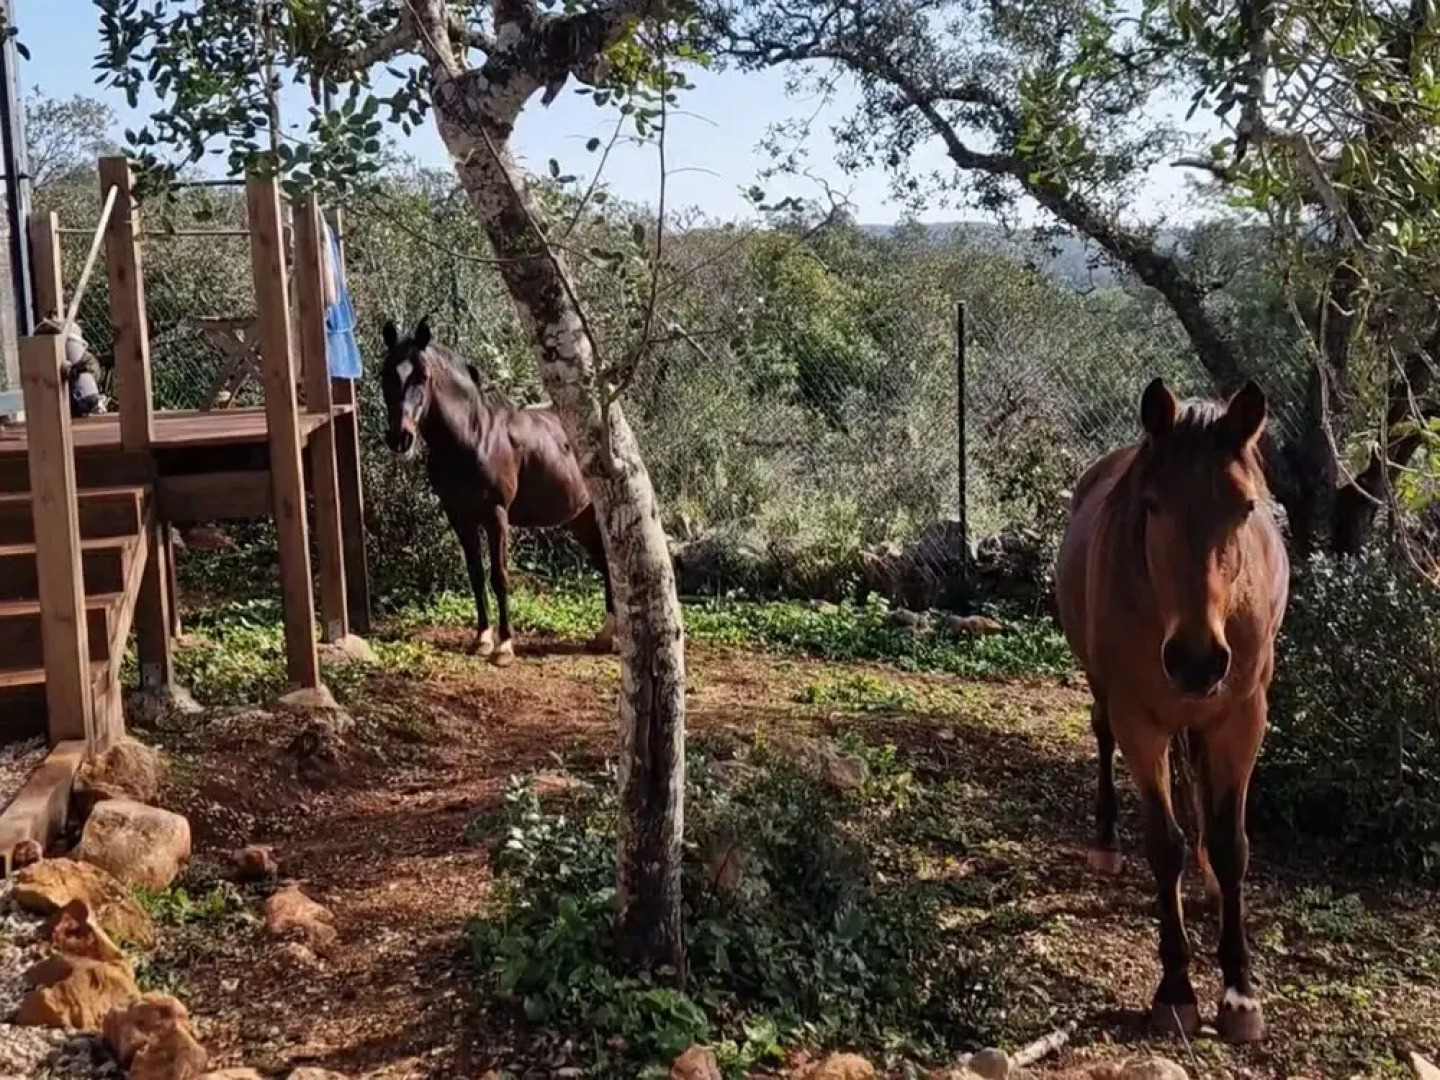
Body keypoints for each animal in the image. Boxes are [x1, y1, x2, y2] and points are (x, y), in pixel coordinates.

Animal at [379, 316, 614, 666]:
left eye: (422, 376)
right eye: (386, 374)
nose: (400, 437)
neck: (473, 437)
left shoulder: (496, 516)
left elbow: (499, 576)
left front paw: (504, 646)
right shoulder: (460, 517)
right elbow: (476, 575)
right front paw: (482, 639)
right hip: (580, 518)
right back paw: (606, 636)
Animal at [1054, 376, 1289, 1045]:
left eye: (1245, 507)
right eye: (1153, 504)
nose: (1196, 659)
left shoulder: (1243, 718)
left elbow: (1233, 844)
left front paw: (1239, 993)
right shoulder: (1140, 721)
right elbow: (1164, 845)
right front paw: (1177, 988)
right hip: (1105, 691)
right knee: (1102, 736)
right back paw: (1106, 842)